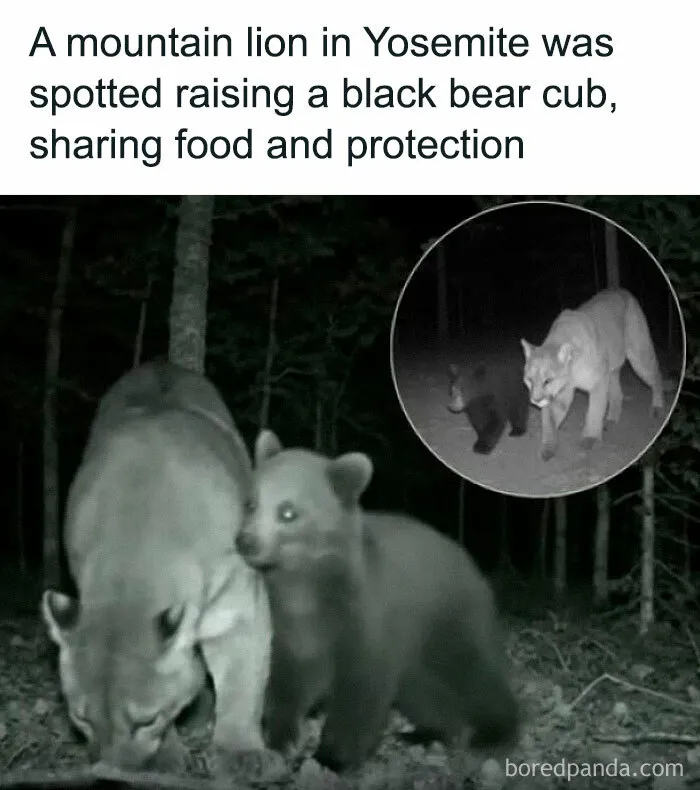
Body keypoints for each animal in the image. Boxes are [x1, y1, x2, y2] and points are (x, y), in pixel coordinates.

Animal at [235, 430, 519, 773]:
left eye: (288, 511)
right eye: (251, 502)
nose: (246, 541)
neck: (305, 582)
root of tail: (469, 562)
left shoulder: (363, 617)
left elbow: (361, 690)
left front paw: (332, 756)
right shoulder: (288, 623)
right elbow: (286, 679)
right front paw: (281, 739)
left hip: (449, 618)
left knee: (475, 672)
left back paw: (494, 732)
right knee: (423, 691)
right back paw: (426, 732)